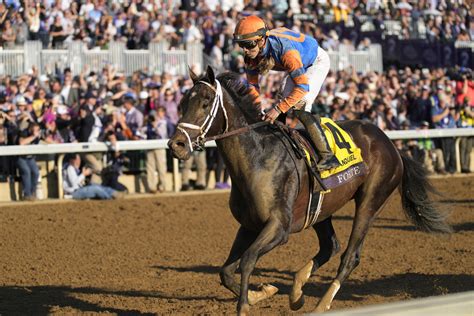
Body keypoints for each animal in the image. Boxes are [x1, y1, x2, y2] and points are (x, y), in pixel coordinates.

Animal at [168, 66, 452, 314]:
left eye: (206, 102)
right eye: (182, 103)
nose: (176, 145)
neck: (258, 157)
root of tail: (390, 143)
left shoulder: (279, 227)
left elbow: (247, 261)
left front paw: (247, 305)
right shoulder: (248, 225)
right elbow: (226, 272)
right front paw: (264, 292)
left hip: (371, 200)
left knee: (349, 256)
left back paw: (320, 305)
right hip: (321, 209)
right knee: (330, 246)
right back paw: (297, 292)